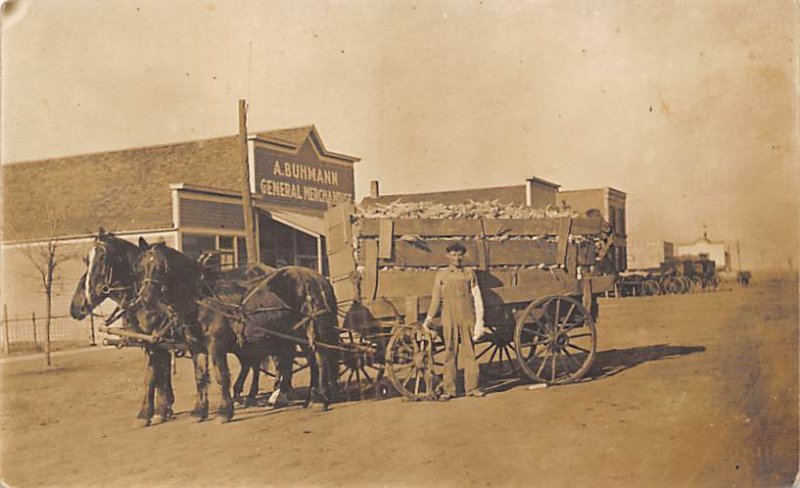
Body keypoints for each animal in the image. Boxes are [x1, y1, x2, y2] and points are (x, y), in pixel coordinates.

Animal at [135, 238, 340, 422]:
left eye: (160, 267)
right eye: (141, 268)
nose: (146, 298)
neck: (202, 298)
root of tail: (319, 278)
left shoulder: (216, 345)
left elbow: (221, 376)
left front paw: (225, 411)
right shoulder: (196, 347)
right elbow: (200, 378)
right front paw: (199, 411)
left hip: (314, 330)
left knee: (320, 359)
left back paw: (319, 400)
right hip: (294, 334)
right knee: (305, 361)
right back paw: (305, 398)